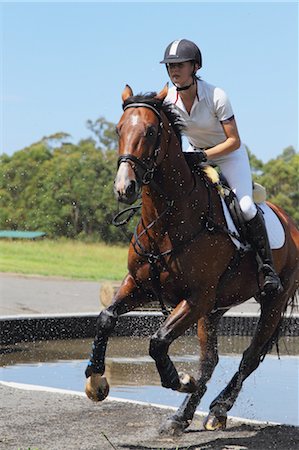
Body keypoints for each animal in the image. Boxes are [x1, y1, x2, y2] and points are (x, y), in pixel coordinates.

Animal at [84, 83, 299, 432]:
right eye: (119, 129)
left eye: (150, 131)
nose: (124, 187)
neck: (168, 220)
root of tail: (289, 222)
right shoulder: (139, 285)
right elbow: (106, 317)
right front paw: (96, 381)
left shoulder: (196, 298)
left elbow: (158, 341)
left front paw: (180, 380)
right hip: (215, 309)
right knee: (210, 360)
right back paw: (181, 417)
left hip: (272, 301)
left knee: (251, 356)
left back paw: (218, 408)